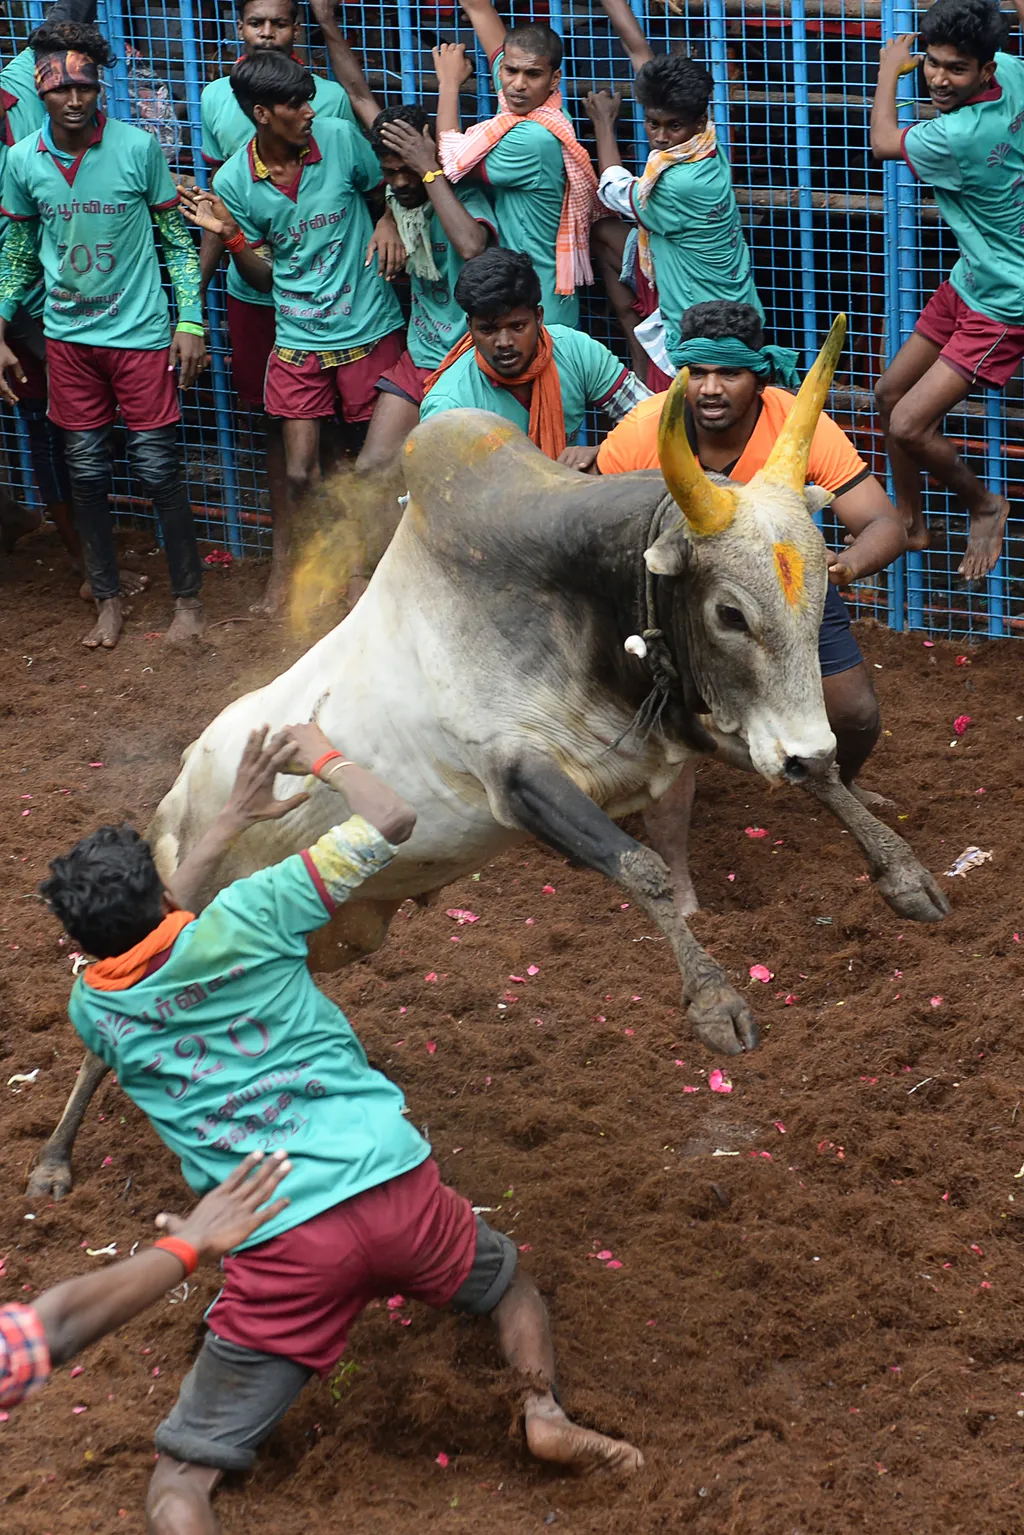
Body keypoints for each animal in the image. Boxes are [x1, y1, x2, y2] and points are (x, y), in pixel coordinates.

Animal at [26, 317, 951, 1203]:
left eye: (822, 591)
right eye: (729, 612)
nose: (804, 744)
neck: (574, 605)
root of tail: (173, 794)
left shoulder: (683, 725)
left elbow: (818, 784)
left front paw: (905, 875)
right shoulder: (521, 779)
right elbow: (644, 869)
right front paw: (716, 1002)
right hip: (173, 916)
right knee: (103, 1035)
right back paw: (54, 1158)